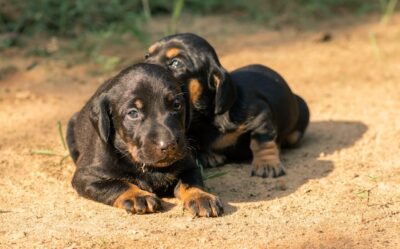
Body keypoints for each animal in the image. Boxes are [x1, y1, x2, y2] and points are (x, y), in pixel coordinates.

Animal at [65, 63, 222, 217]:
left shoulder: (188, 165)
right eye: (133, 113)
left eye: (177, 104)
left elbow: (191, 182)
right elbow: (118, 184)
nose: (169, 145)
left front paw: (200, 196)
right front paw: (138, 196)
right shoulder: (85, 176)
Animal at [145, 33, 310, 178]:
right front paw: (207, 155)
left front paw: (267, 164)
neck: (205, 118)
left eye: (175, 63)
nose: (144, 69)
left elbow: (261, 141)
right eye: (147, 56)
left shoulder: (260, 115)